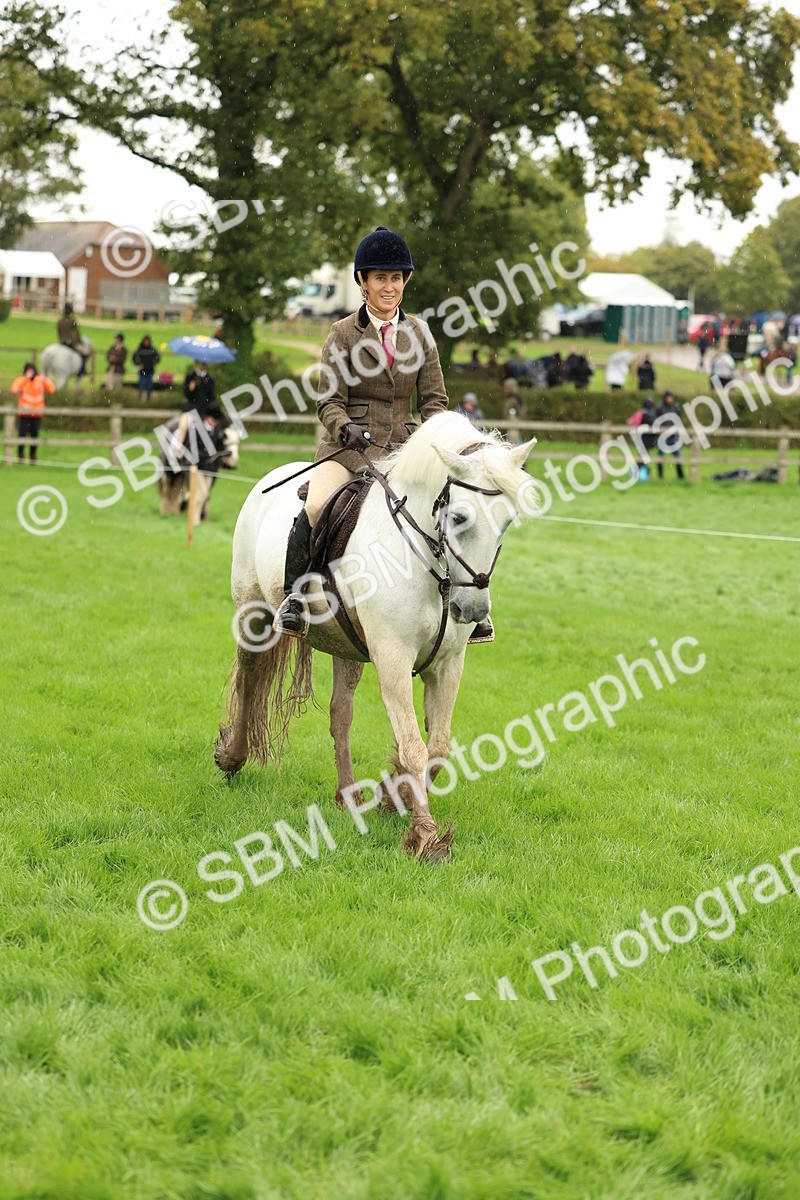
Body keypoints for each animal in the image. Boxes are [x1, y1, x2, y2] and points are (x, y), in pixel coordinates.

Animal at [214, 410, 538, 862]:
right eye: (459, 518)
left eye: (506, 521)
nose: (473, 610)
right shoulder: (393, 658)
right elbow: (414, 746)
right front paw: (426, 837)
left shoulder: (447, 664)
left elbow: (437, 749)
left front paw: (393, 798)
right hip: (253, 615)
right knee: (247, 679)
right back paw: (232, 758)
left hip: (346, 648)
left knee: (340, 715)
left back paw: (348, 795)